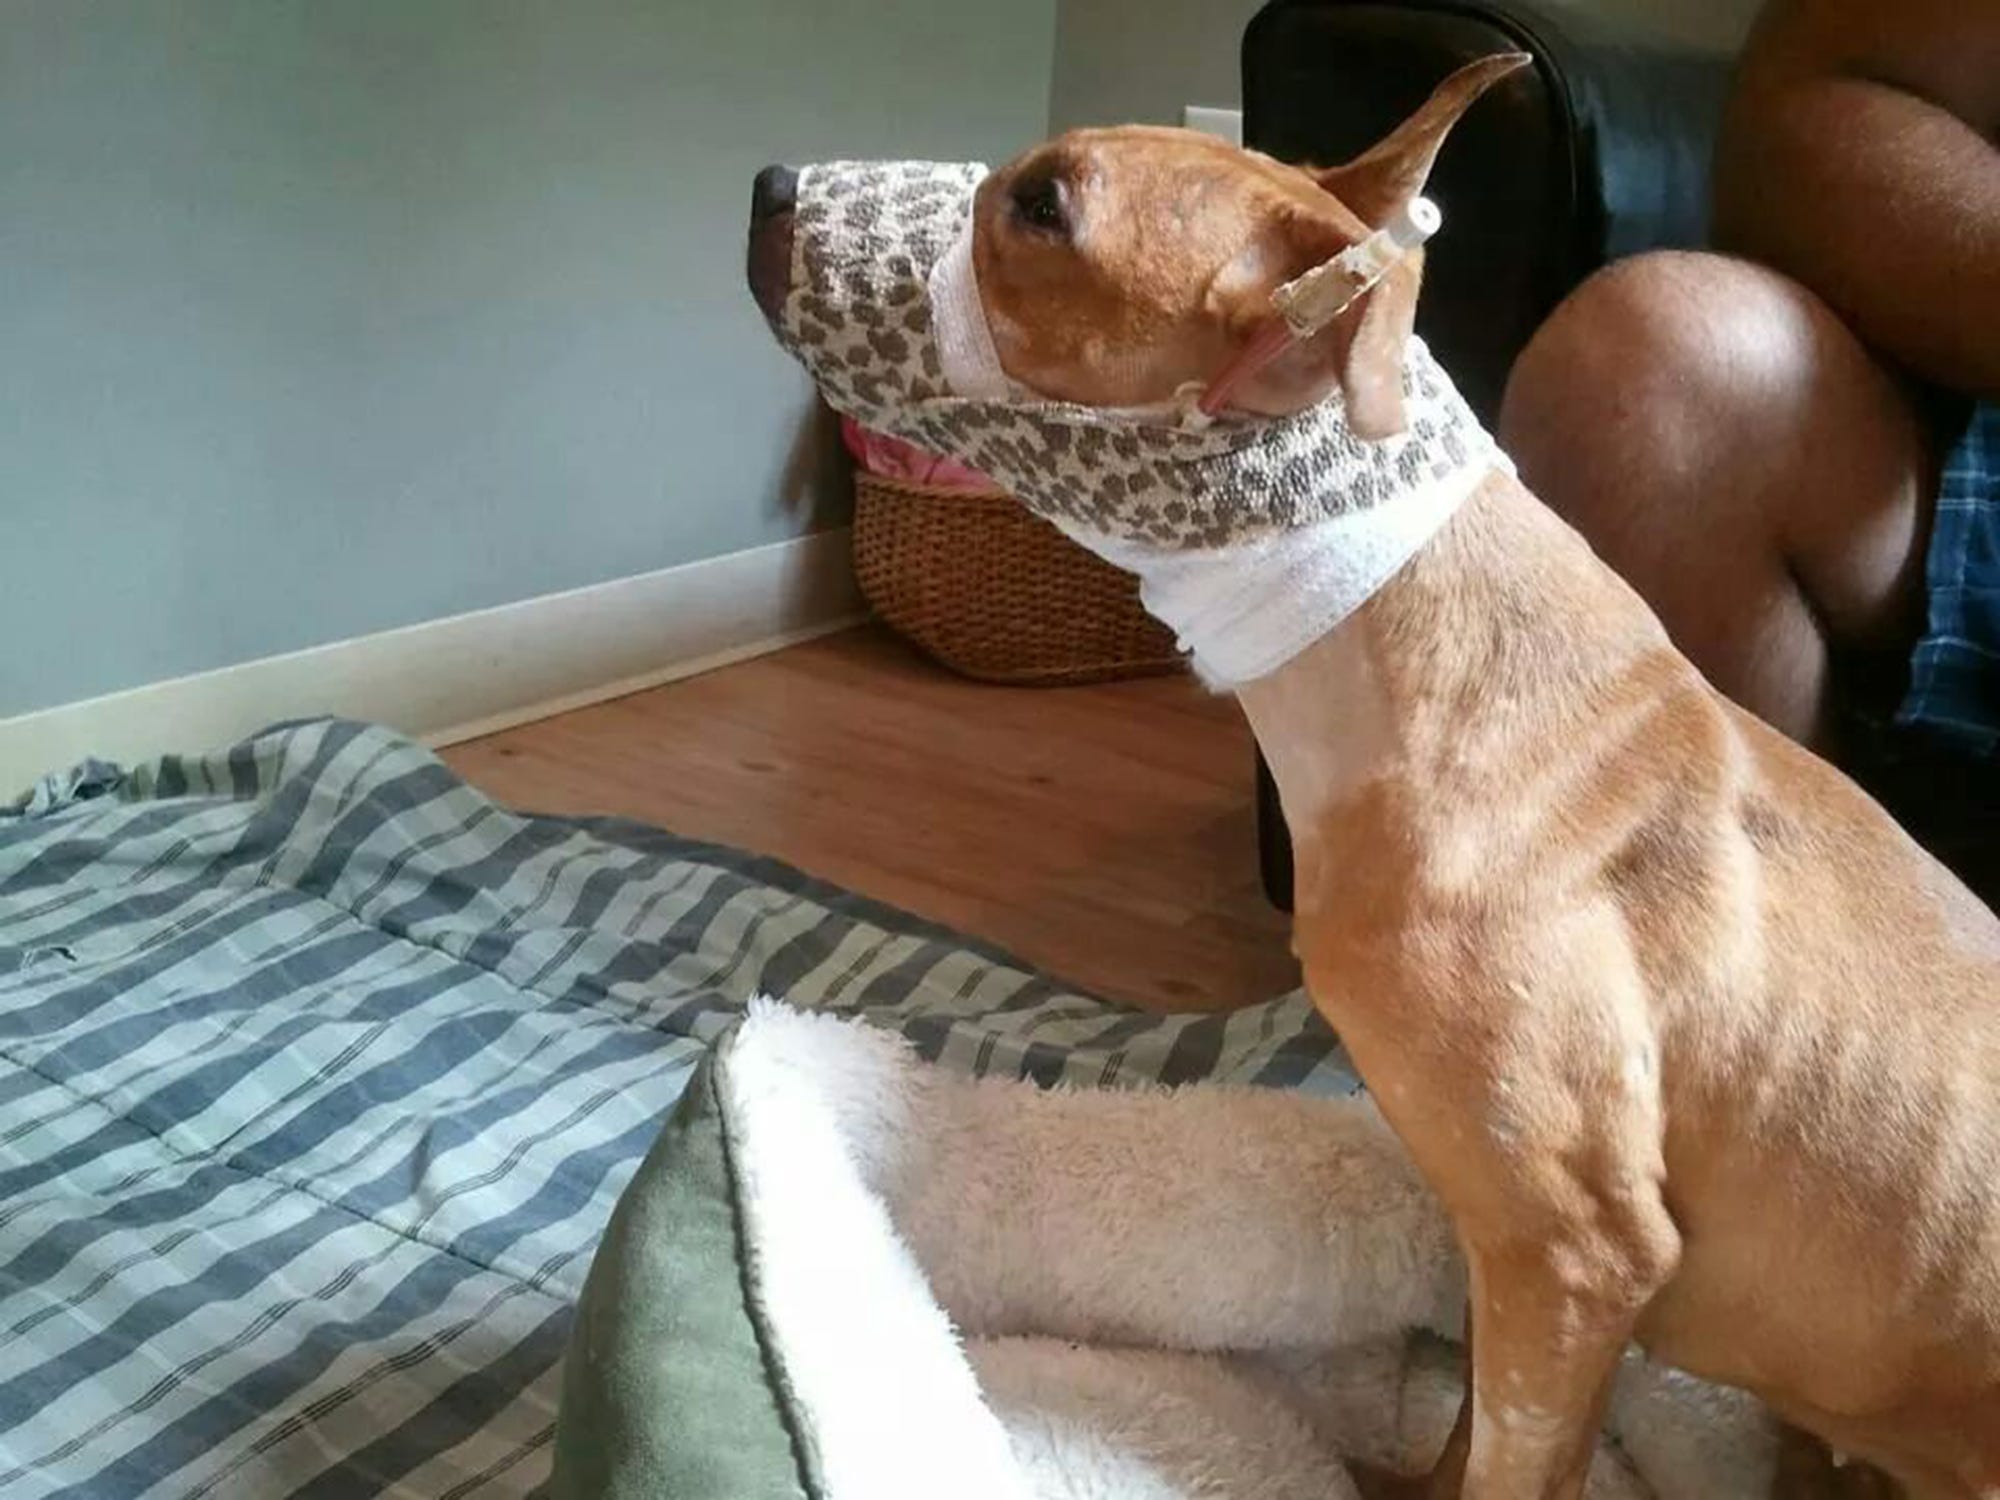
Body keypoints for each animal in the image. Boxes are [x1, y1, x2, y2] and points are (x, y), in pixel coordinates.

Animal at [746, 55, 2000, 1498]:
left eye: (1047, 206)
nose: (765, 181)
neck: (1404, 667)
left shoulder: (1572, 1254)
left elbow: (1511, 1458)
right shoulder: (1500, 1249)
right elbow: (1456, 1432)